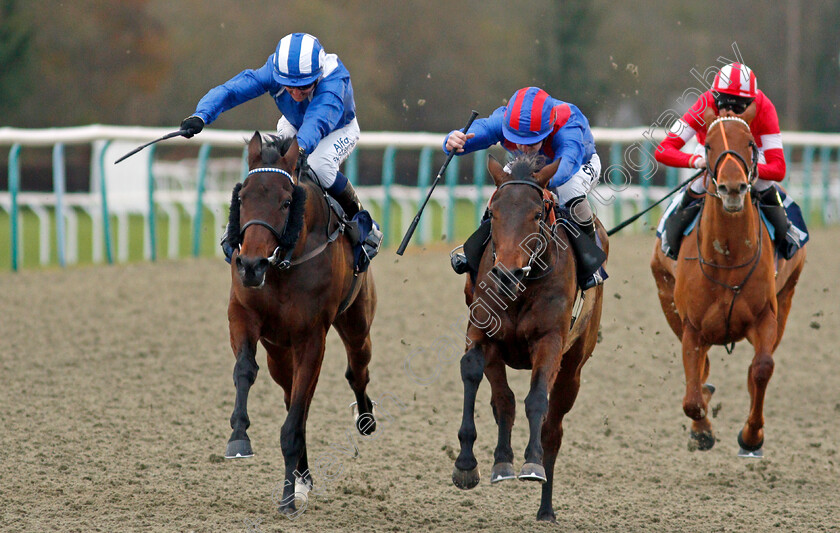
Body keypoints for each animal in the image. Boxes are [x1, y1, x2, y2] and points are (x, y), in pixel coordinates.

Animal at [226, 131, 378, 512]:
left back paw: (365, 418)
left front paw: (287, 499)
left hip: (356, 324)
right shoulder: (242, 314)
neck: (283, 264)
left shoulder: (312, 337)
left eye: (284, 203)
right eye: (243, 198)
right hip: (279, 352)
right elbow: (244, 370)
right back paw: (302, 478)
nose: (251, 265)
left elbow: (293, 425)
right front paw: (238, 436)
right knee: (294, 397)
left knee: (357, 370)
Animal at [450, 153, 608, 520]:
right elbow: (481, 381)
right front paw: (470, 463)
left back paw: (545, 507)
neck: (520, 288)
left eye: (537, 214)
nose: (506, 274)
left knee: (553, 429)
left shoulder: (550, 341)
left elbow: (536, 399)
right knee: (503, 401)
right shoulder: (482, 332)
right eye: (493, 212)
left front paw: (531, 464)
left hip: (574, 367)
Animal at [648, 111, 808, 454]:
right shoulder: (692, 327)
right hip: (667, 301)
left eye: (749, 143)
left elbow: (761, 368)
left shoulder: (766, 317)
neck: (727, 259)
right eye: (708, 145)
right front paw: (702, 430)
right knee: (702, 372)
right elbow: (693, 398)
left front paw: (752, 436)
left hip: (787, 298)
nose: (733, 188)